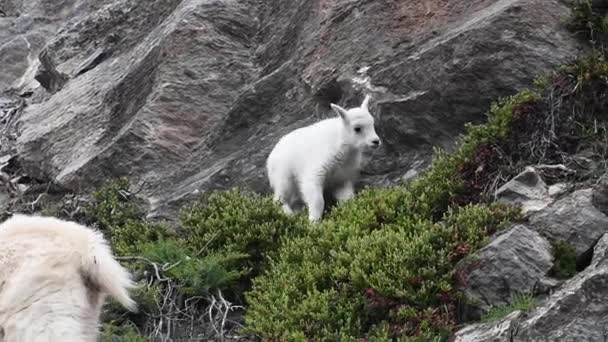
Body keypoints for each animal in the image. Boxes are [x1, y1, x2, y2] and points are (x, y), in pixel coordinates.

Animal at [266, 94, 380, 222]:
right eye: (357, 128)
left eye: (372, 124)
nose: (376, 141)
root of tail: (270, 158)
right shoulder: (315, 172)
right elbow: (317, 200)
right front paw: (314, 221)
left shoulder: (341, 179)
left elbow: (347, 198)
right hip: (283, 178)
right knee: (280, 199)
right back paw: (289, 215)